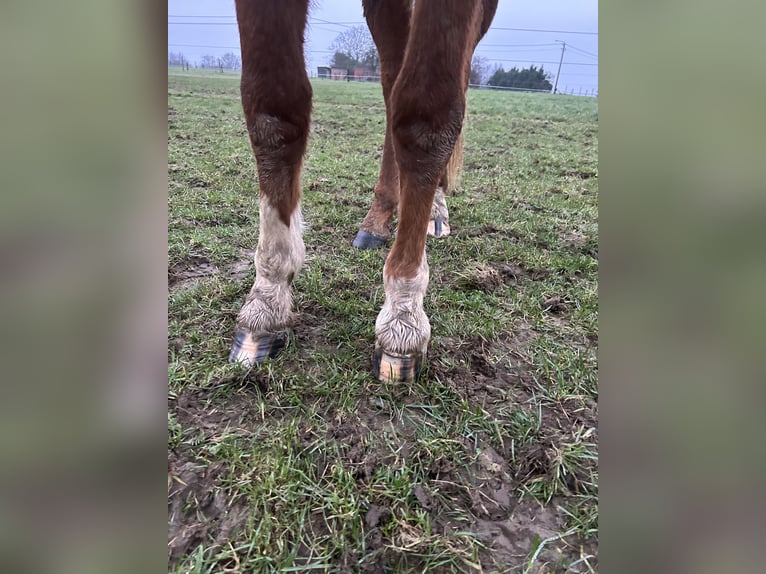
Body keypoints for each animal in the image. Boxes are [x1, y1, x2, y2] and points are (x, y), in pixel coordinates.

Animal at [226, 2, 498, 384]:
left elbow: (426, 120)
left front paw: (403, 315)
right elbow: (272, 112)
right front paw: (267, 298)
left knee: (446, 82)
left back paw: (434, 210)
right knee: (391, 84)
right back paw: (378, 220)